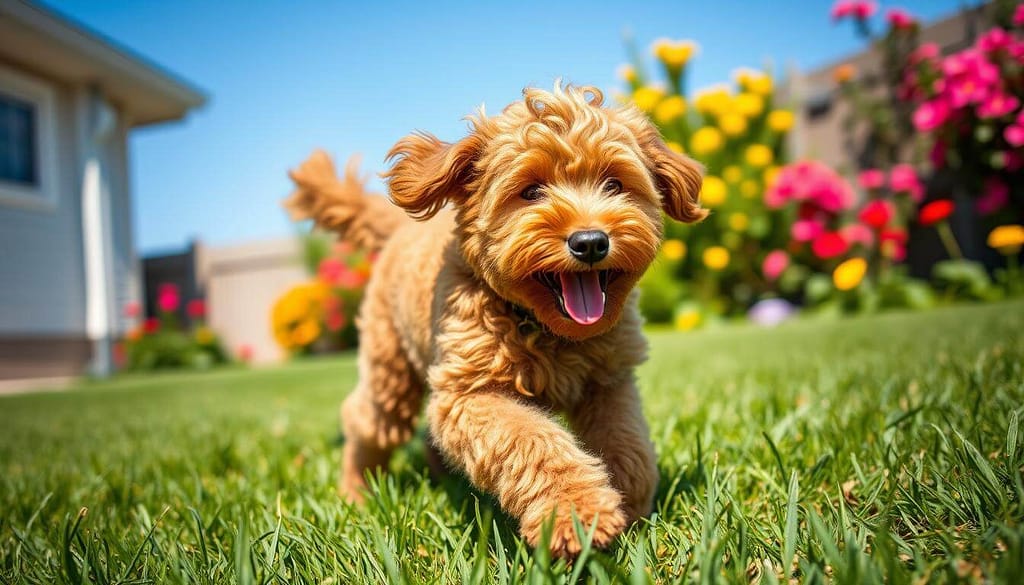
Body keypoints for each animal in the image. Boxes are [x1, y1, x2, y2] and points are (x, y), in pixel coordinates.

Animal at [286, 83, 704, 557]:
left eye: (614, 184)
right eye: (531, 191)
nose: (591, 242)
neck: (545, 328)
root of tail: (400, 229)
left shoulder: (609, 381)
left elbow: (627, 445)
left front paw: (632, 512)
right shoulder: (470, 393)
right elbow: (533, 442)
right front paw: (576, 514)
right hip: (388, 367)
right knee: (366, 422)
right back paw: (357, 490)